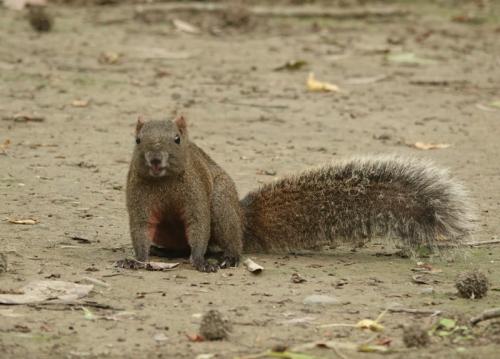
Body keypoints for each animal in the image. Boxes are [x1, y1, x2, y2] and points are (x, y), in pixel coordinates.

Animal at [127, 116, 474, 272]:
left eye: (177, 139)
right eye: (137, 140)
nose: (155, 159)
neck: (163, 182)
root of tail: (241, 217)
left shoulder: (197, 196)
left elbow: (199, 226)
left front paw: (200, 261)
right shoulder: (139, 201)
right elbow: (140, 229)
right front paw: (138, 259)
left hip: (222, 207)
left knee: (225, 238)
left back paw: (228, 256)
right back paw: (163, 252)